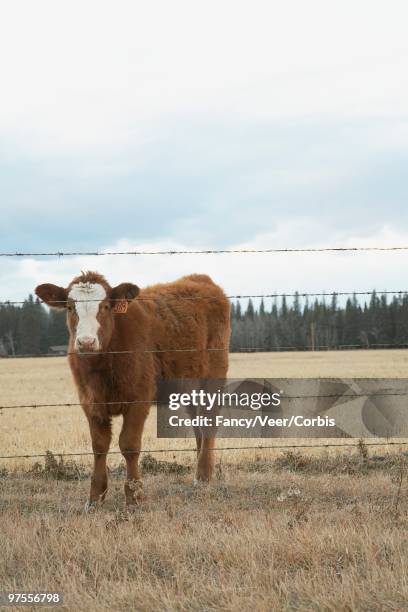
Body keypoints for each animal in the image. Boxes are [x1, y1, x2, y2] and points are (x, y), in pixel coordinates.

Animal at [35, 274, 230, 512]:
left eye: (105, 306)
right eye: (71, 307)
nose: (86, 342)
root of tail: (201, 279)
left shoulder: (139, 399)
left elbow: (129, 445)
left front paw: (134, 497)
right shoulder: (90, 402)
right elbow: (99, 446)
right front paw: (95, 498)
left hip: (212, 378)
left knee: (209, 422)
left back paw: (202, 477)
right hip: (189, 386)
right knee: (198, 425)